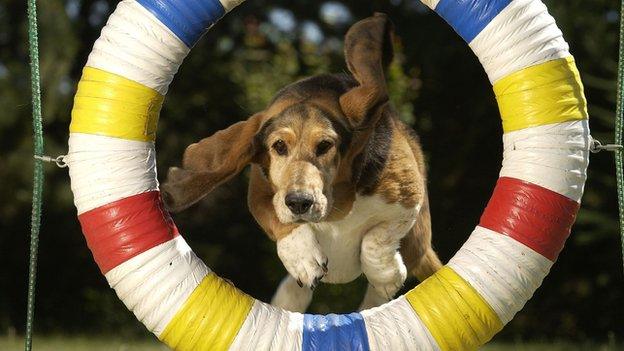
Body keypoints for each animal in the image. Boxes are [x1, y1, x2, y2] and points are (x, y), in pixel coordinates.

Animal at [161, 13, 444, 312]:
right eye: (278, 146)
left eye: (325, 146)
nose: (299, 202)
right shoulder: (260, 195)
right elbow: (280, 221)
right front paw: (304, 259)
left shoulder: (407, 200)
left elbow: (376, 240)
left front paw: (388, 276)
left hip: (418, 247)